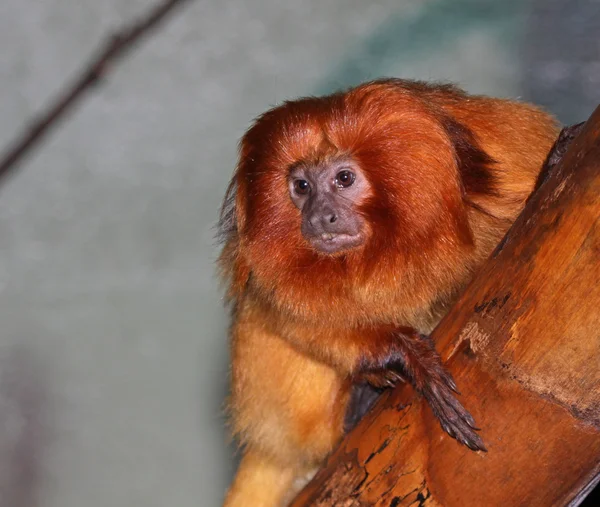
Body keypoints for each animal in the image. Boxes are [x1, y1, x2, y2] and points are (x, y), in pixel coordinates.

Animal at [218, 79, 560, 507]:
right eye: (302, 187)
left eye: (344, 179)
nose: (319, 217)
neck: (389, 245)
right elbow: (287, 321)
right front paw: (402, 353)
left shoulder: (506, 150)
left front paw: (555, 163)